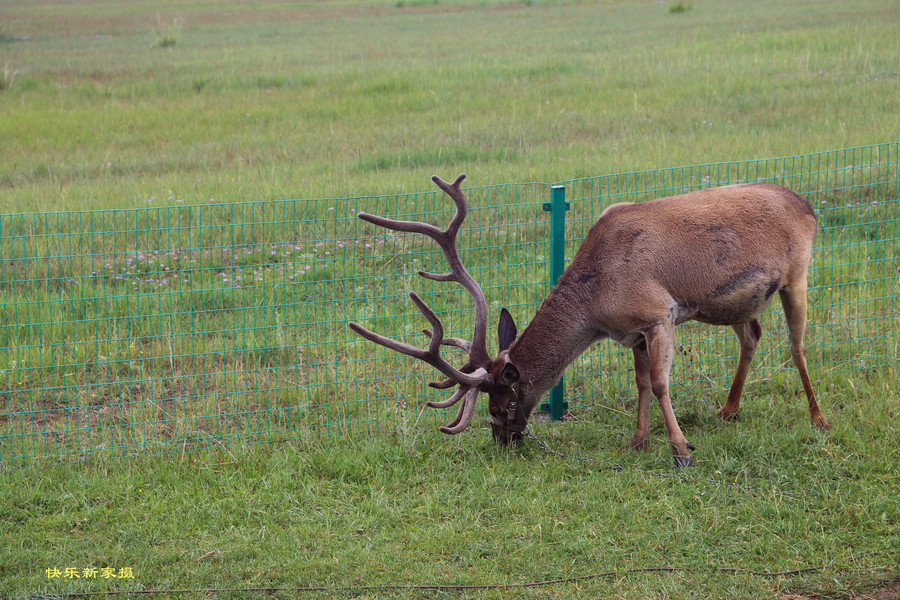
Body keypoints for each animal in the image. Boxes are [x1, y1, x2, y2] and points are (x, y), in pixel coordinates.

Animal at [350, 173, 828, 468]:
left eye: (502, 405)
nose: (503, 442)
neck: (598, 306)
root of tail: (808, 205)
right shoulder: (633, 332)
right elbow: (640, 383)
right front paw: (637, 442)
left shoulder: (659, 314)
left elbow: (659, 384)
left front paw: (681, 451)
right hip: (738, 303)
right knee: (753, 334)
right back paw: (728, 410)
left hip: (798, 273)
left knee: (797, 344)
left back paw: (818, 418)